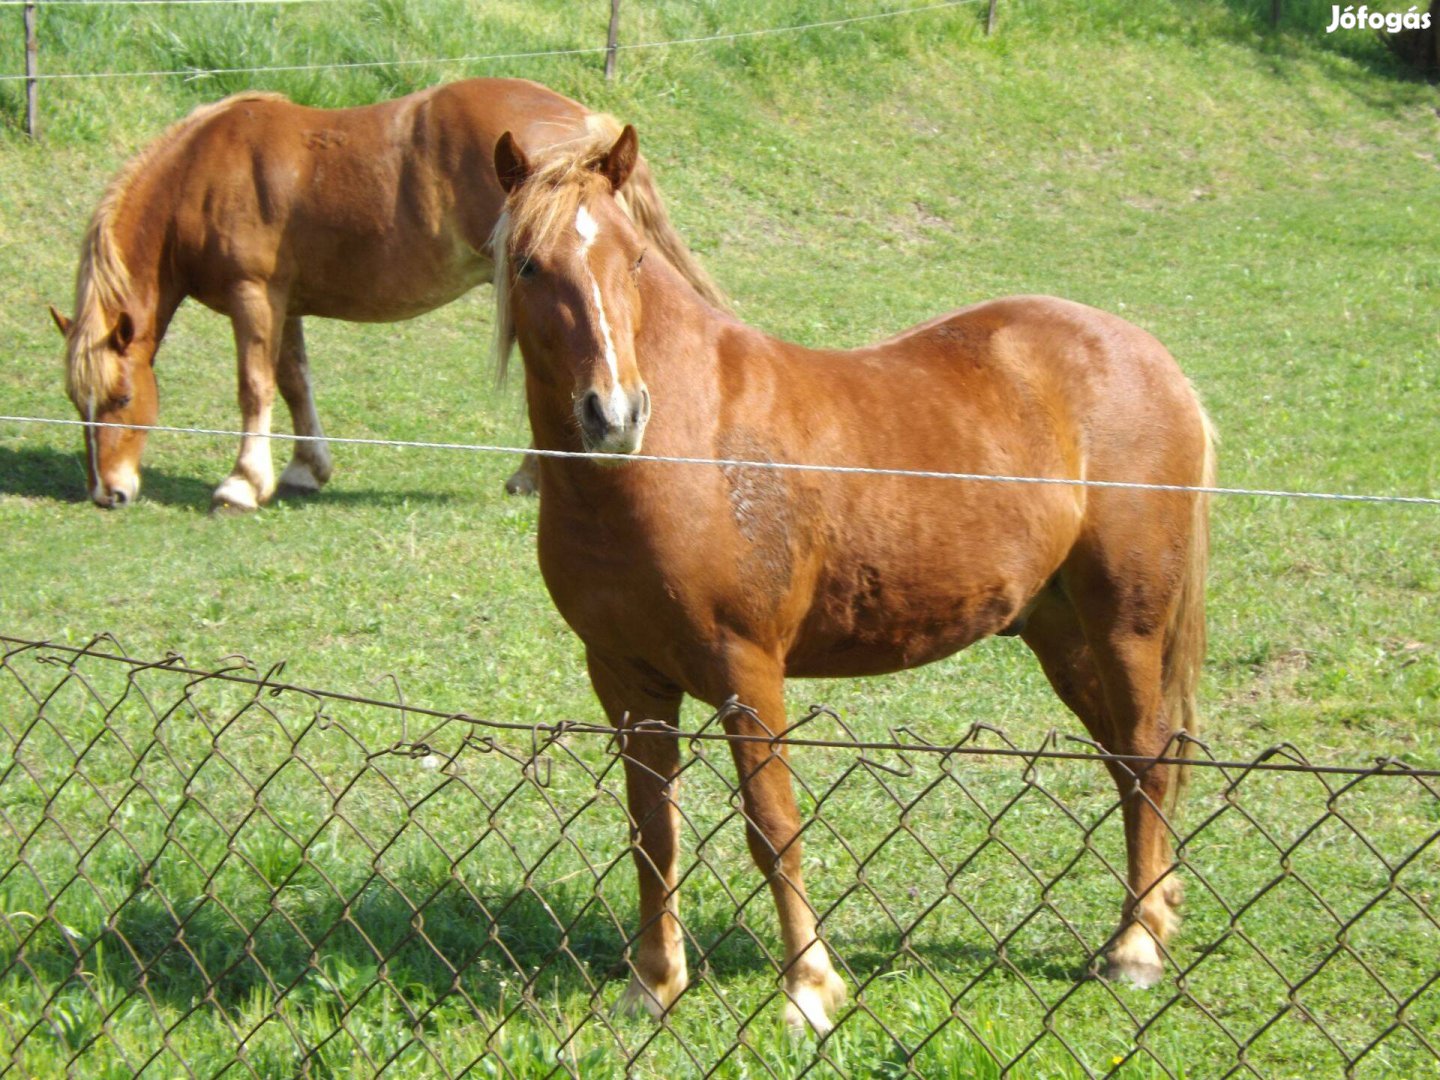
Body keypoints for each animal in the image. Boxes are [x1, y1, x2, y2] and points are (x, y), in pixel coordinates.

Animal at [49, 80, 725, 512]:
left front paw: (242, 484)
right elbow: (293, 381)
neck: (205, 173)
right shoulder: (285, 302)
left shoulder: (253, 296)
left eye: (122, 396)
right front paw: (305, 468)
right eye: (78, 401)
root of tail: (585, 120)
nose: (107, 492)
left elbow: (254, 386)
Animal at [492, 122, 1215, 1036]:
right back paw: (1145, 920)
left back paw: (1137, 948)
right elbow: (652, 833)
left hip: (1126, 623)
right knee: (1127, 762)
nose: (614, 415)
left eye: (634, 261)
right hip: (1064, 635)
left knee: (1149, 757)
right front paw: (653, 983)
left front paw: (808, 986)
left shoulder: (746, 669)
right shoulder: (627, 679)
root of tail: (1150, 358)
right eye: (528, 265)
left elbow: (772, 826)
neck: (682, 455)